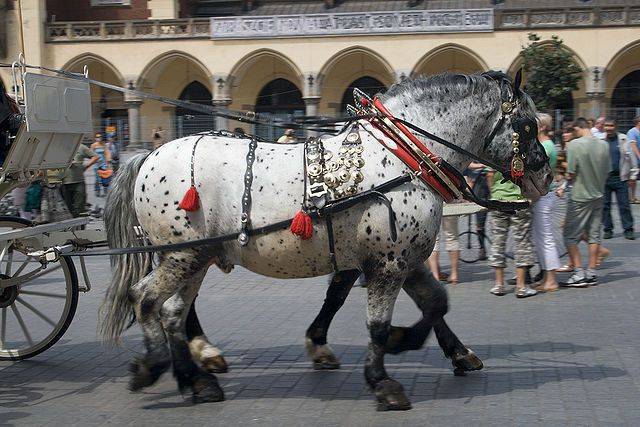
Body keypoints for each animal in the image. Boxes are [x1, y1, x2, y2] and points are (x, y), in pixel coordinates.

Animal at [101, 72, 556, 412]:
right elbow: (377, 323)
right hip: (182, 254)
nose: (546, 177)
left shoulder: (405, 257)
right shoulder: (388, 262)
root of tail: (147, 155)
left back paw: (196, 381)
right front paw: (383, 380)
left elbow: (435, 304)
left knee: (173, 313)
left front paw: (446, 351)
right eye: (528, 125)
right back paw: (155, 366)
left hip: (196, 255)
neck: (401, 157)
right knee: (145, 299)